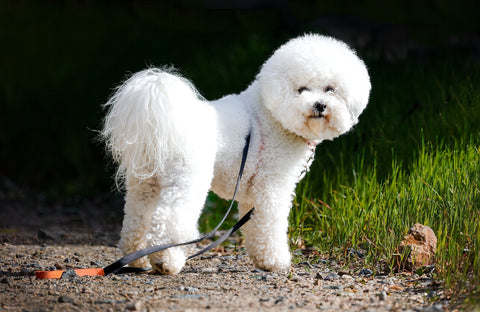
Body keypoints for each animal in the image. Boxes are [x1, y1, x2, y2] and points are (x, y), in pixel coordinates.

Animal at [101, 33, 372, 272]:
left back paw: (136, 259)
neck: (271, 116)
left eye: (330, 89)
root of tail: (166, 122)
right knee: (169, 220)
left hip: (145, 184)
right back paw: (166, 262)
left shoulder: (254, 194)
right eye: (302, 89)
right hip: (187, 180)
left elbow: (254, 226)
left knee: (136, 220)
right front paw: (276, 261)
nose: (319, 105)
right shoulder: (272, 187)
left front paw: (262, 259)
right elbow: (271, 225)